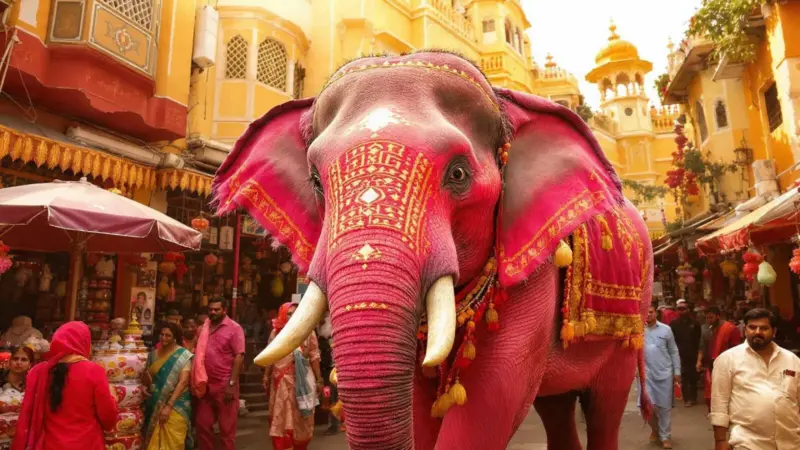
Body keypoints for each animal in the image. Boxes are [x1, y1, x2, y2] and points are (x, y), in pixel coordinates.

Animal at [213, 50, 653, 450]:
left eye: (458, 174)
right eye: (316, 183)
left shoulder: (536, 270)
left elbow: (489, 399)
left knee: (605, 406)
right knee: (557, 407)